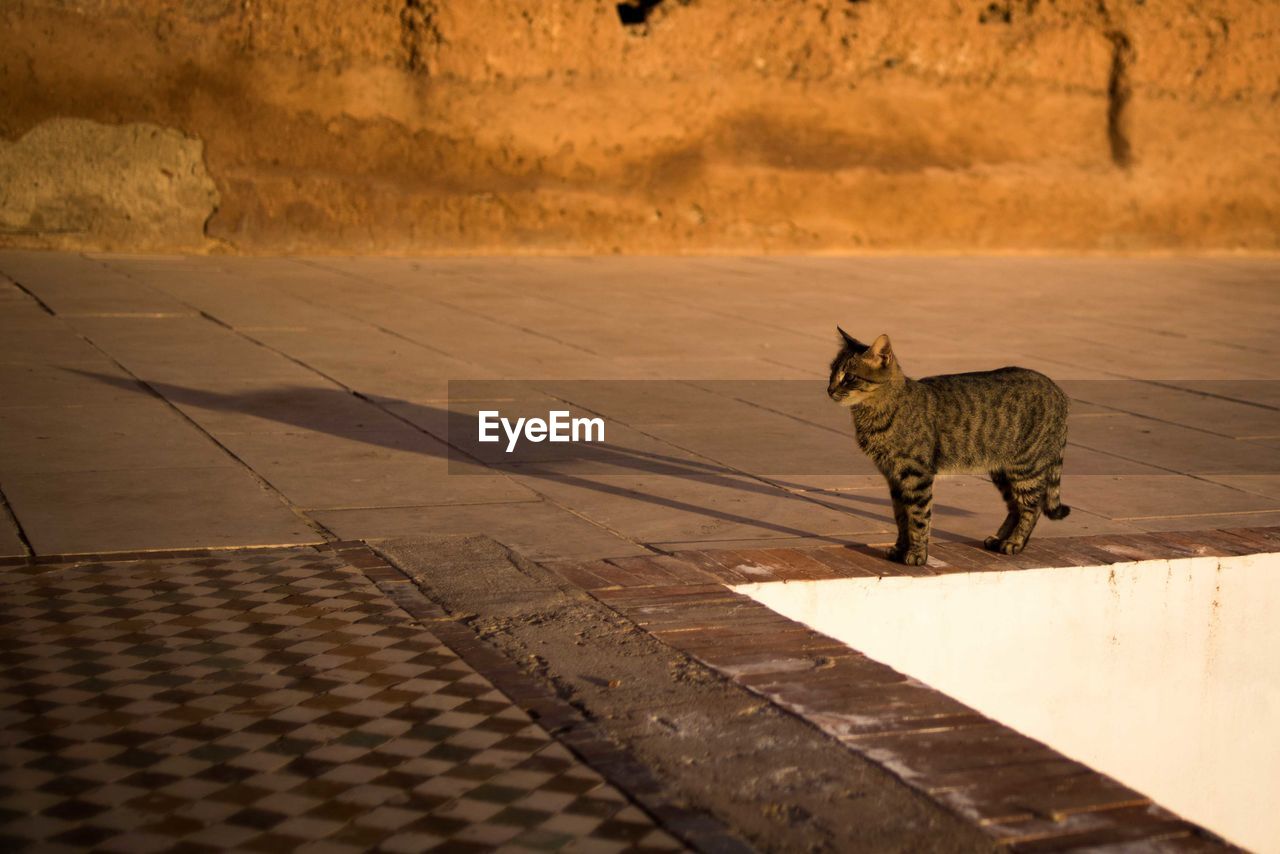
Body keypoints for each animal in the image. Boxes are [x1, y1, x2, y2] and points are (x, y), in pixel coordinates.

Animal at [829, 330, 1070, 563]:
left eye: (849, 377)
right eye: (832, 371)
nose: (829, 389)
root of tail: (1058, 390)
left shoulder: (916, 476)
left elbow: (917, 518)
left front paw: (917, 554)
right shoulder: (894, 478)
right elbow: (901, 518)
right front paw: (900, 549)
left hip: (1025, 468)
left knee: (1032, 507)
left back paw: (1014, 542)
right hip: (1002, 471)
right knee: (1014, 506)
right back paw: (999, 538)